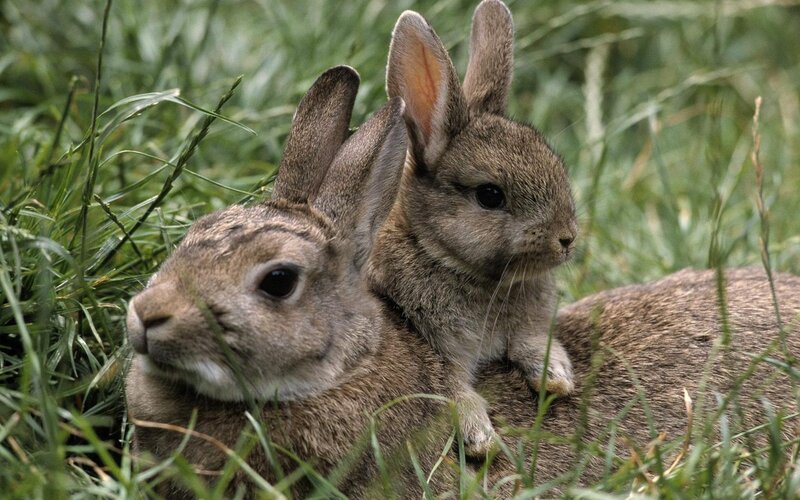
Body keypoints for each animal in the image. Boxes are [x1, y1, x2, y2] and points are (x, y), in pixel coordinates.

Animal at [366, 0, 578, 456]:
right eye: (490, 195)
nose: (567, 238)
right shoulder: (434, 346)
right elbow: (451, 388)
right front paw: (481, 438)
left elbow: (532, 341)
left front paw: (556, 377)